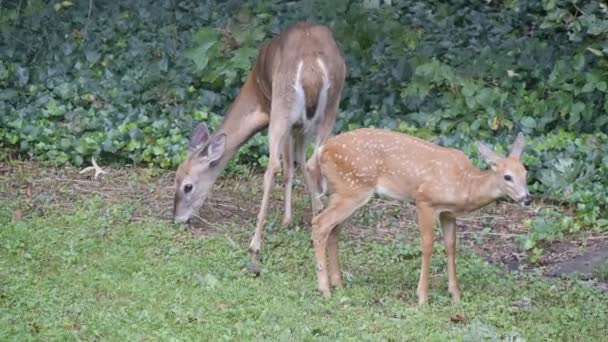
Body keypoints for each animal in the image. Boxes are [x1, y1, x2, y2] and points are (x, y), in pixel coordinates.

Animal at [173, 22, 346, 272]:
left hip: (282, 108)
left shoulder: (284, 118)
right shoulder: (300, 126)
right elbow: (300, 162)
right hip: (331, 108)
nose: (176, 218)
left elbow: (289, 167)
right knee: (316, 158)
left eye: (188, 186)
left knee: (272, 167)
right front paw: (316, 207)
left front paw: (288, 220)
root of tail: (312, 66)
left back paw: (255, 244)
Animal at [306, 128, 528, 304]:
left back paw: (339, 284)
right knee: (320, 223)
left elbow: (451, 246)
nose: (527, 198)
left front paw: (455, 294)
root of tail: (321, 150)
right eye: (507, 177)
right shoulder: (424, 201)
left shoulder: (448, 213)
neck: (465, 184)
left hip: (344, 191)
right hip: (353, 189)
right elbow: (428, 245)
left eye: (526, 173)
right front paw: (422, 297)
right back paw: (325, 289)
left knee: (333, 230)